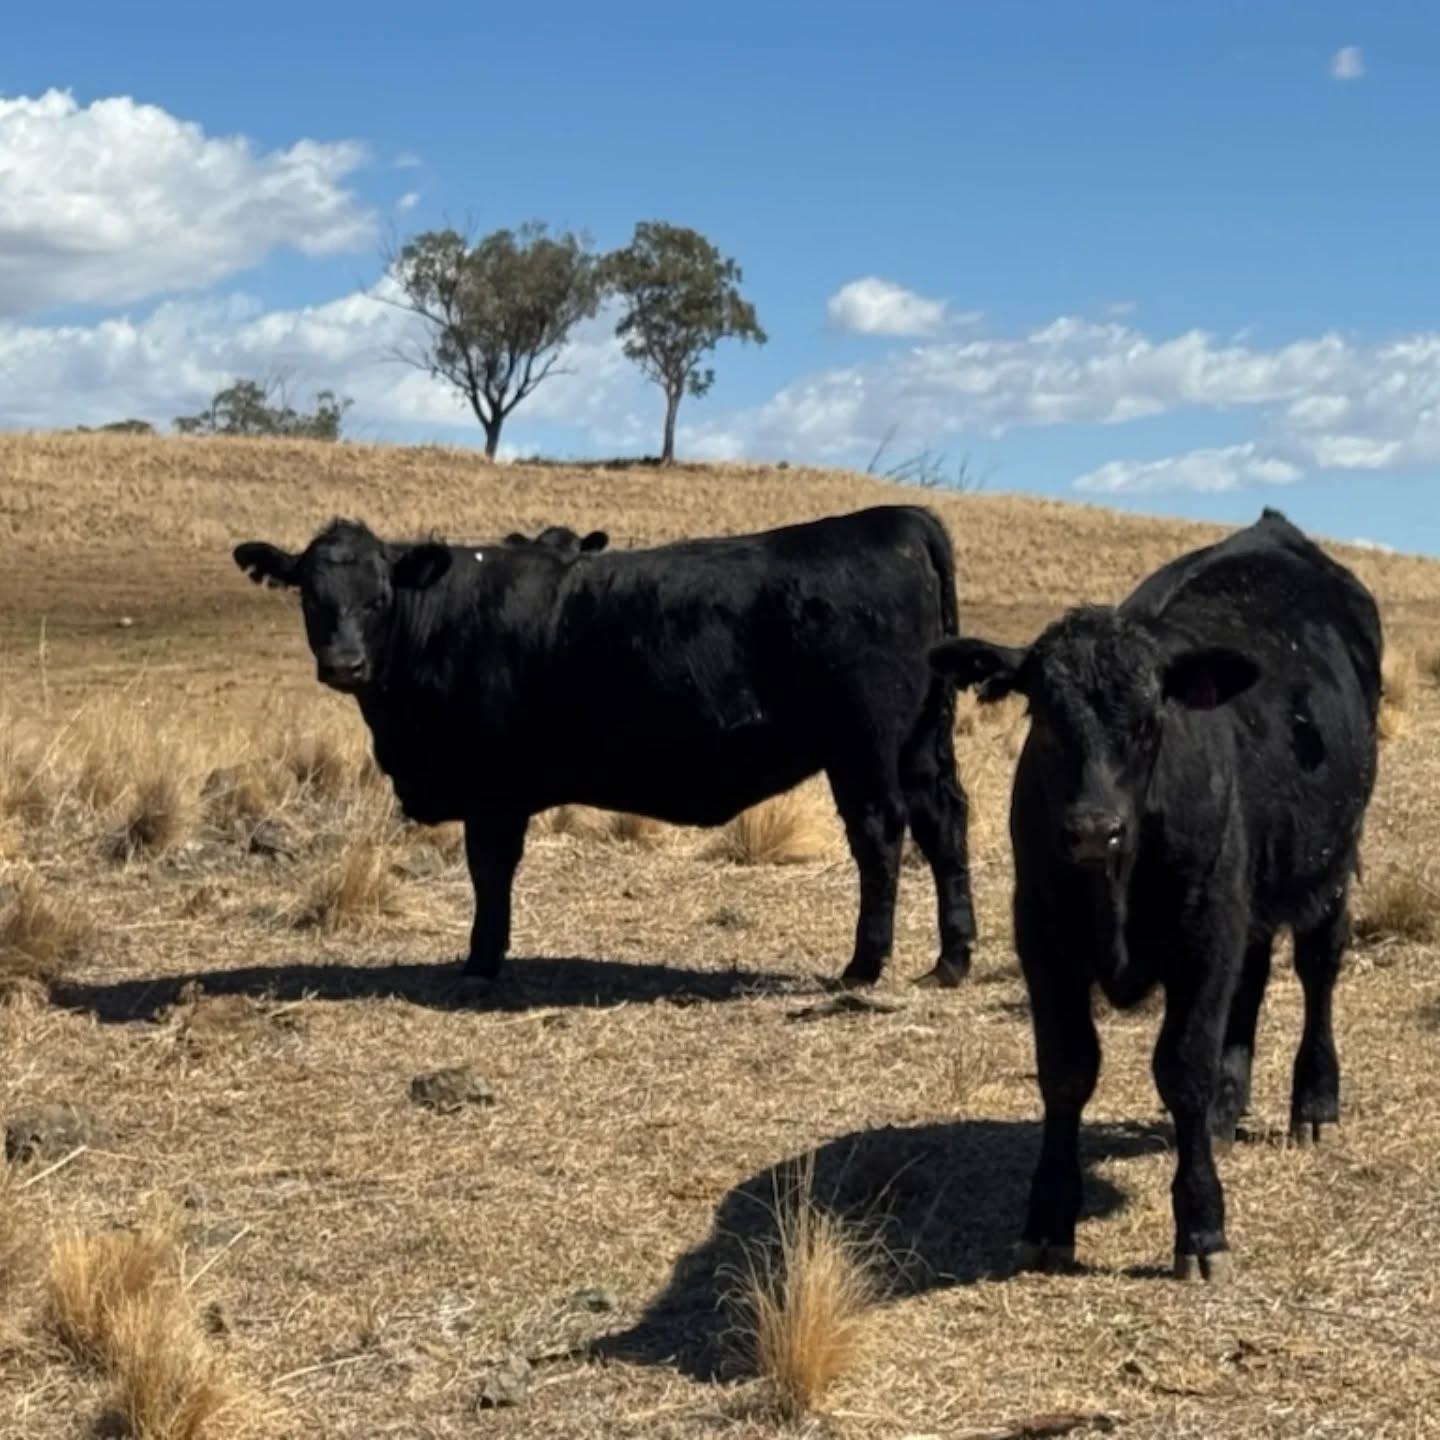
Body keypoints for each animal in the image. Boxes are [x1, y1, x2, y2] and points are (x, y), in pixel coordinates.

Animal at [233, 505, 978, 988]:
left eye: (379, 595)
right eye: (310, 595)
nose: (344, 665)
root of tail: (900, 520)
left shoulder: (492, 789)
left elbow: (489, 872)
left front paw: (480, 963)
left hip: (864, 747)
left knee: (881, 835)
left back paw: (863, 966)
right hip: (920, 743)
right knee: (943, 826)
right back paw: (950, 960)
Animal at [930, 507, 1381, 1283]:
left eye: (1149, 721)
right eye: (1043, 714)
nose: (1093, 828)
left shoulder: (1202, 939)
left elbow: (1183, 1068)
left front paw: (1201, 1226)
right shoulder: (1043, 938)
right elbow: (1067, 1069)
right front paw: (1048, 1217)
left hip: (1329, 859)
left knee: (1317, 970)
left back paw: (1314, 1101)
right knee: (1252, 979)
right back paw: (1230, 1109)